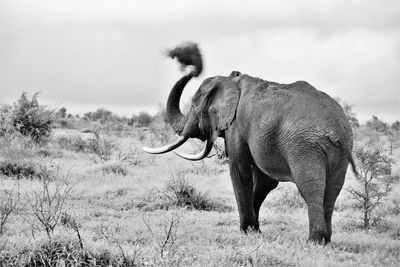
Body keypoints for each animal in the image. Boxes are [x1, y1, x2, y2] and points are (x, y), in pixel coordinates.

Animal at [142, 43, 354, 244]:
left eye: (194, 106)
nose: (187, 61)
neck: (231, 80)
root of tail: (337, 128)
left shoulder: (236, 126)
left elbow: (239, 171)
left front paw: (246, 230)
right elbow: (265, 181)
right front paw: (255, 230)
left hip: (305, 146)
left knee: (310, 187)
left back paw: (315, 241)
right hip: (340, 152)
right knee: (332, 190)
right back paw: (326, 239)